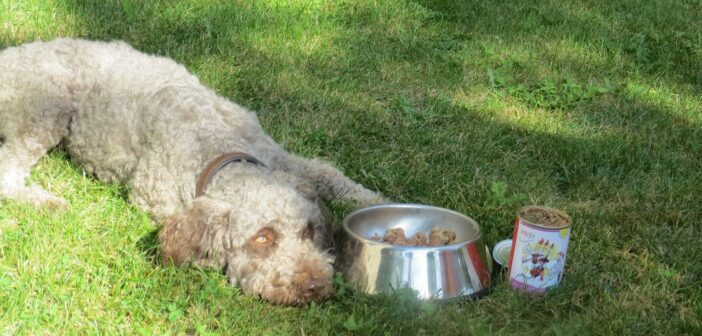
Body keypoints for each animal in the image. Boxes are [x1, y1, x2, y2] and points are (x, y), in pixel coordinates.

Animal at [0, 38, 384, 304]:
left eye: (308, 231)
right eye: (262, 238)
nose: (314, 284)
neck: (215, 142)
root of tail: (10, 54)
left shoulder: (281, 157)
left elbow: (328, 174)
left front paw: (372, 200)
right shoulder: (155, 197)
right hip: (47, 106)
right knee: (8, 176)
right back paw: (47, 202)